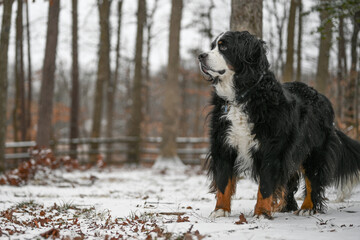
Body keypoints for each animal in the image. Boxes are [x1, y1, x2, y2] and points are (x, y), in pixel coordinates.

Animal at [198, 30, 360, 219]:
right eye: (212, 46)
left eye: (223, 46)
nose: (201, 56)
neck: (243, 94)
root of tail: (321, 96)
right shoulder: (223, 144)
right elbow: (224, 182)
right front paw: (220, 211)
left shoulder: (272, 148)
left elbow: (266, 186)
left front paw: (261, 213)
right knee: (289, 180)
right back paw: (285, 206)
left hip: (314, 150)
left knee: (313, 179)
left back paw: (308, 207)